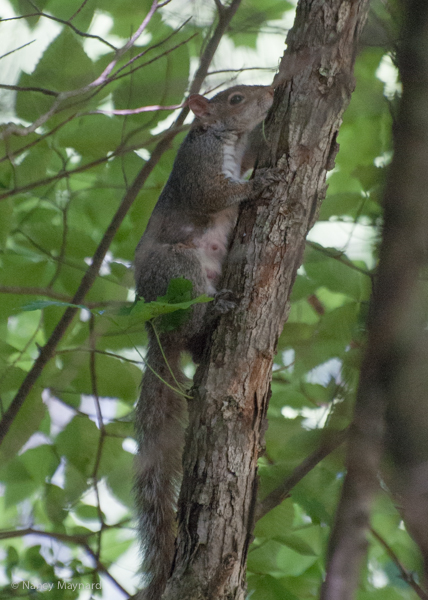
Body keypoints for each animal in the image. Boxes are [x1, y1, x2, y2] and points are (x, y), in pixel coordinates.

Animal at [135, 85, 274, 600]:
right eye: (234, 98)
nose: (269, 92)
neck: (221, 137)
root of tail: (158, 332)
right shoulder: (197, 168)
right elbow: (215, 192)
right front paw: (255, 185)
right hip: (180, 273)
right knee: (193, 319)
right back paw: (213, 313)